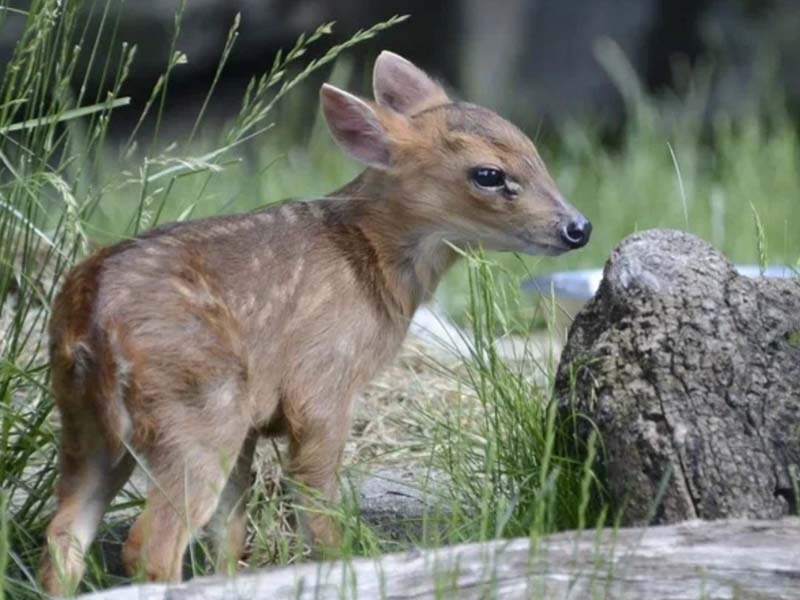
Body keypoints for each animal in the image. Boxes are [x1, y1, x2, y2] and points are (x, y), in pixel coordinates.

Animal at [40, 51, 592, 596]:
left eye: (533, 151)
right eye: (488, 174)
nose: (578, 227)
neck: (369, 264)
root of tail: (91, 323)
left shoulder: (253, 424)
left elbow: (231, 531)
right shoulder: (322, 384)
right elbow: (316, 498)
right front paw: (339, 564)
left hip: (88, 422)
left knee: (63, 535)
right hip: (198, 408)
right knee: (149, 545)